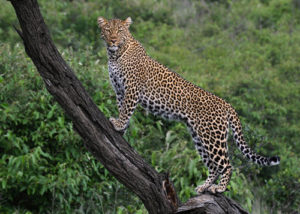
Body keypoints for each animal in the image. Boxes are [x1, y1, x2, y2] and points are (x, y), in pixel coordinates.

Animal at [97, 17, 280, 194]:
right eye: (108, 30)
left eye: (120, 30)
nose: (113, 40)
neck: (115, 55)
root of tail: (227, 104)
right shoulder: (119, 89)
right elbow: (121, 108)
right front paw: (122, 129)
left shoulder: (132, 89)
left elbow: (126, 110)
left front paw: (119, 124)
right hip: (199, 136)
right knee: (213, 166)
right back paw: (203, 187)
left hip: (213, 137)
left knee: (226, 164)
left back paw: (219, 188)